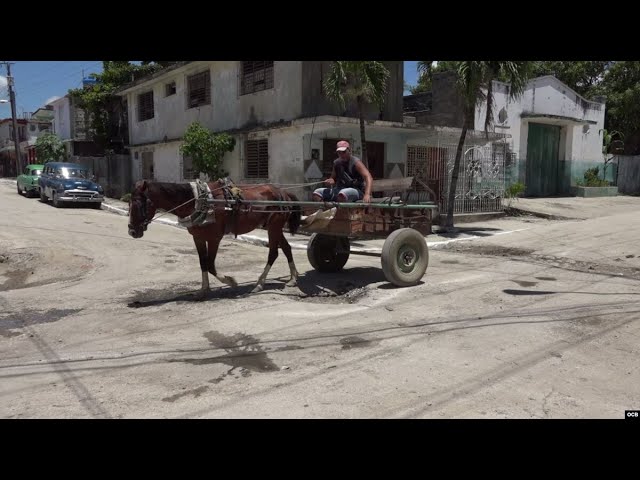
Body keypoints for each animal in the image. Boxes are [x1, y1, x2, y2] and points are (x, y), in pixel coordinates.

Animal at [129, 178, 304, 294]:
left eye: (141, 204)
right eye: (130, 204)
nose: (132, 231)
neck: (199, 200)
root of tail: (283, 192)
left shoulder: (214, 238)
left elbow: (211, 265)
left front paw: (230, 281)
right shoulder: (198, 237)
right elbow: (203, 263)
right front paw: (204, 288)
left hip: (274, 227)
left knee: (273, 253)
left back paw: (260, 283)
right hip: (274, 227)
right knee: (286, 248)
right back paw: (293, 278)